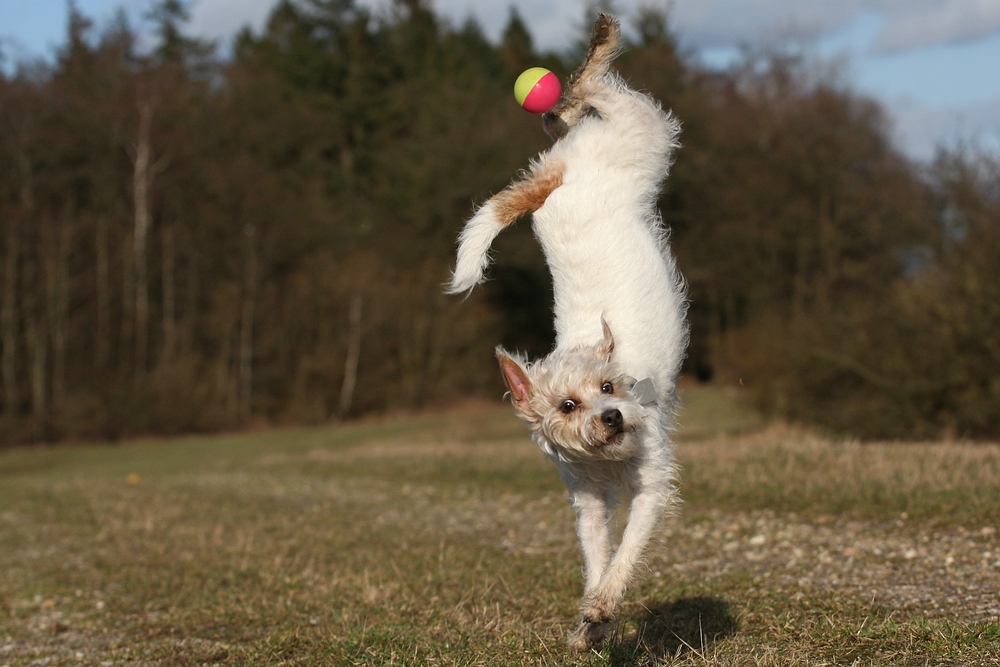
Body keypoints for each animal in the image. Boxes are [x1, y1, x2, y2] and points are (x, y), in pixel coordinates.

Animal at [446, 13, 688, 656]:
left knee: (601, 90)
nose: (614, 416)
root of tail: (559, 178)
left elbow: (626, 554)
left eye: (611, 386)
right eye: (568, 405)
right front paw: (592, 621)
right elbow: (599, 552)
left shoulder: (650, 487)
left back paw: (592, 57)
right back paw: (562, 105)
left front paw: (602, 605)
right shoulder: (589, 504)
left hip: (643, 135)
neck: (607, 459)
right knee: (584, 104)